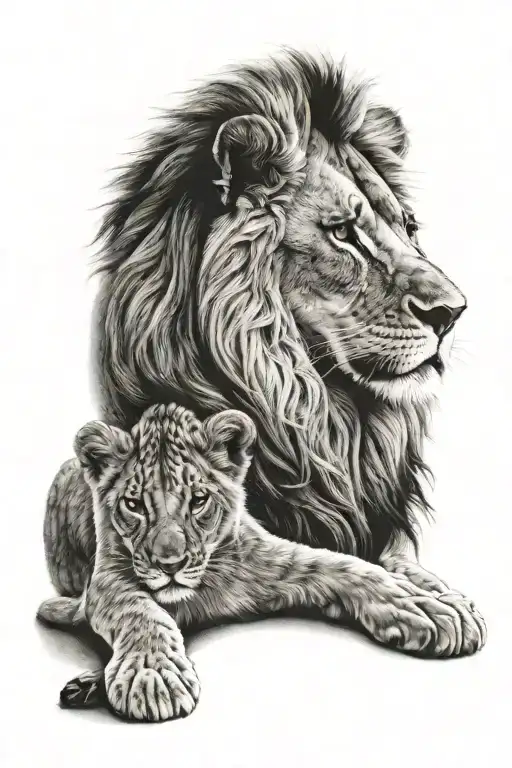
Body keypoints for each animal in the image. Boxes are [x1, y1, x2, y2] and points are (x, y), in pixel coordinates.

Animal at [75, 50, 484, 648]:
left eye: (408, 228)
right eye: (344, 233)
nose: (453, 312)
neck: (318, 416)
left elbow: (395, 561)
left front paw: (446, 596)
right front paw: (418, 608)